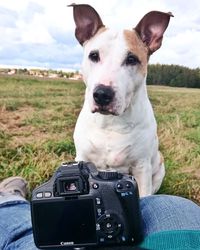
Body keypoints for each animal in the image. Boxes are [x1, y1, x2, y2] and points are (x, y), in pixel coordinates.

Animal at [69, 2, 173, 196]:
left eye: (132, 59)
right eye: (93, 56)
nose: (102, 94)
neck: (110, 123)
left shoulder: (142, 167)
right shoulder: (82, 157)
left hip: (159, 167)